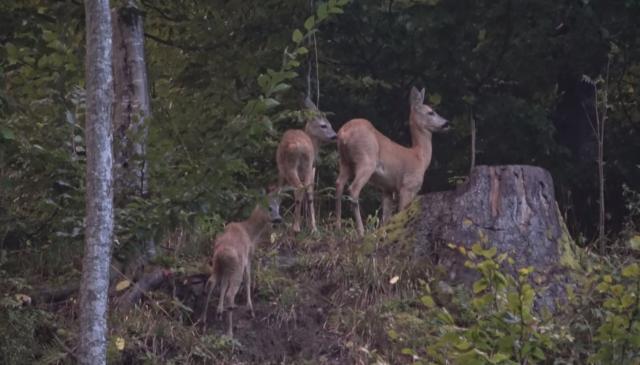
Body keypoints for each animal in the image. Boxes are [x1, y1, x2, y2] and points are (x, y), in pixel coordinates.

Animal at [200, 188, 280, 336]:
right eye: (269, 207)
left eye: (279, 206)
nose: (278, 219)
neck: (251, 233)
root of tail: (222, 253)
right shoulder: (248, 256)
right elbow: (248, 279)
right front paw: (250, 309)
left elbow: (223, 284)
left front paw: (219, 311)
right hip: (236, 268)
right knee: (230, 294)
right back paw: (230, 332)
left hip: (218, 265)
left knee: (211, 282)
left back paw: (203, 320)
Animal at [276, 96, 338, 230]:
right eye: (324, 125)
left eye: (330, 124)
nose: (335, 136)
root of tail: (296, 146)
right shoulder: (312, 167)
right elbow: (309, 192)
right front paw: (311, 225)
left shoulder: (281, 171)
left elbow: (280, 192)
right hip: (302, 165)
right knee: (303, 189)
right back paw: (300, 227)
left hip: (288, 167)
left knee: (294, 189)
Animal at [336, 86, 450, 235]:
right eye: (431, 112)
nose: (446, 123)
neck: (419, 156)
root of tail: (343, 133)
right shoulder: (408, 185)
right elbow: (401, 212)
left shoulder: (388, 189)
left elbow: (386, 217)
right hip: (366, 160)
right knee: (353, 189)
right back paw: (361, 231)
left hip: (345, 161)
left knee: (338, 185)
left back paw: (337, 226)